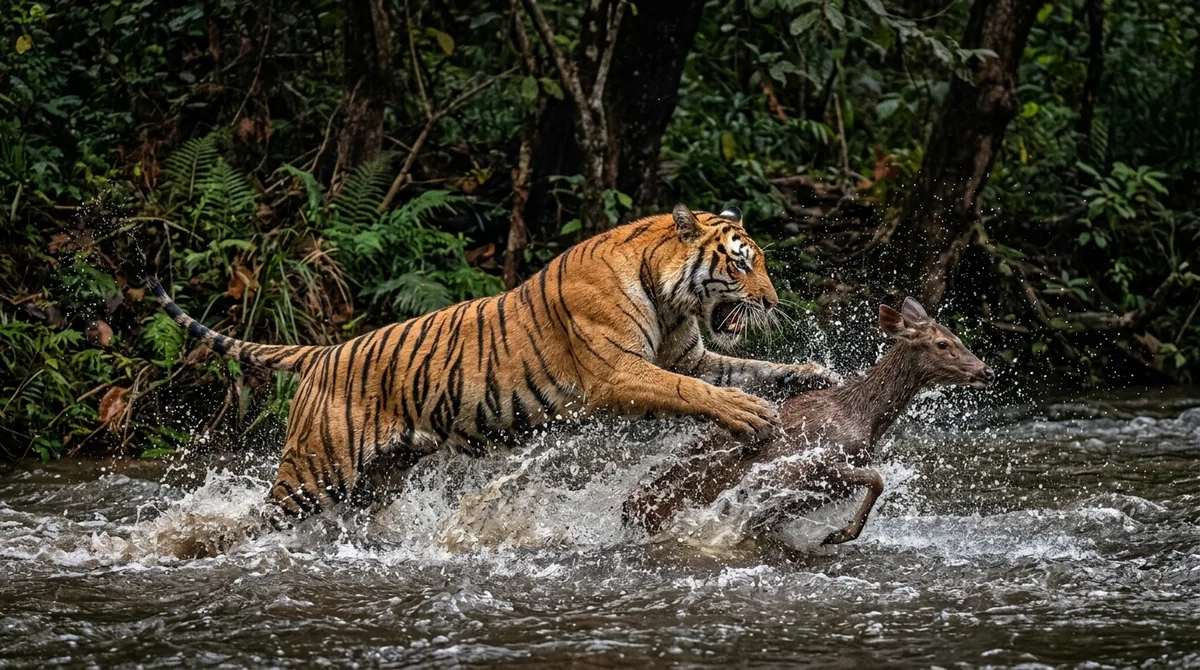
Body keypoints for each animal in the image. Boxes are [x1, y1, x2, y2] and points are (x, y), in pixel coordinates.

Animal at [149, 203, 840, 520]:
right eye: (742, 264)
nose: (774, 302)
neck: (671, 298)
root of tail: (325, 350)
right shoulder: (620, 374)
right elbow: (692, 392)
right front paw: (748, 415)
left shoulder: (692, 357)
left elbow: (750, 370)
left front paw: (814, 374)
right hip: (314, 472)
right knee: (260, 515)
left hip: (379, 476)